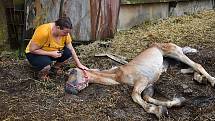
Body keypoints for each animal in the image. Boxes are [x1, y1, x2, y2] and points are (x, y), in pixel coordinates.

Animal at [65, 43, 215, 117]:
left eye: (72, 72)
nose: (68, 89)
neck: (118, 74)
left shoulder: (142, 81)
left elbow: (135, 96)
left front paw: (156, 110)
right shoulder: (149, 84)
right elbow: (147, 97)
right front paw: (173, 104)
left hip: (175, 54)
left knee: (197, 65)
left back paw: (212, 81)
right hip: (172, 62)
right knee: (190, 68)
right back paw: (201, 79)